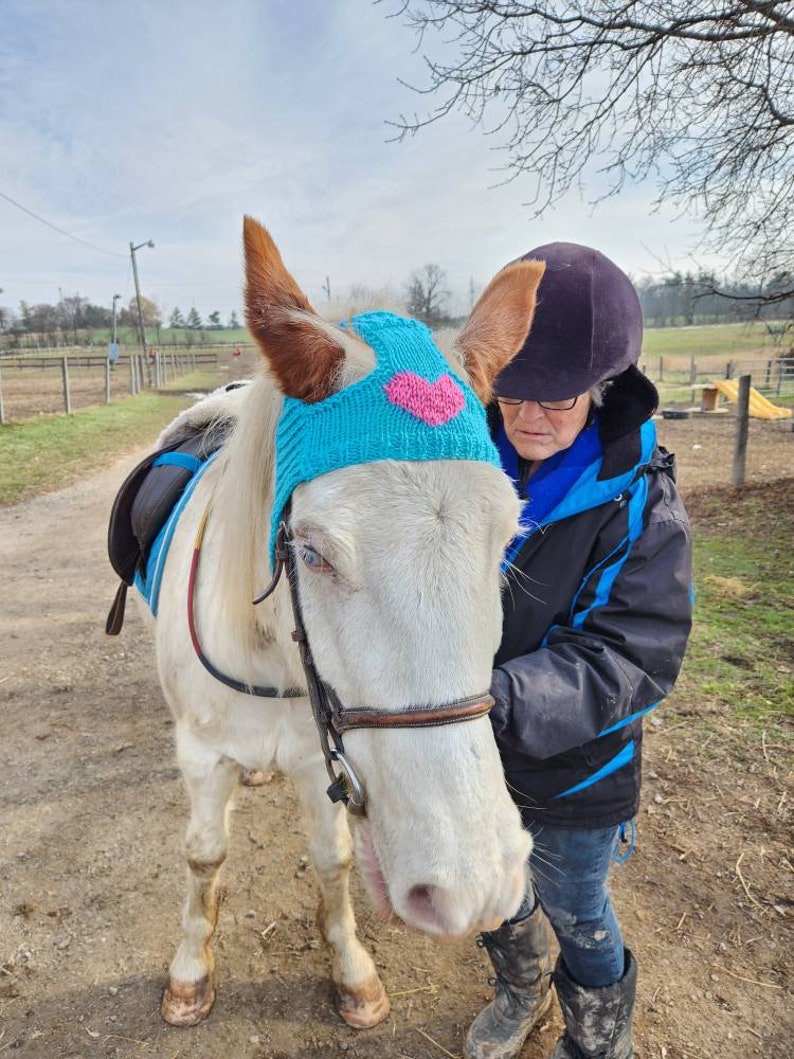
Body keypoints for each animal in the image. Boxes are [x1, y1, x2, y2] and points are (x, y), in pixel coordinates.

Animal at [129, 219, 546, 1029]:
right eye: (313, 551)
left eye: (507, 536)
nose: (472, 884)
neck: (271, 663)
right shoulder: (200, 756)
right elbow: (203, 856)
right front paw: (191, 971)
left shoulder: (313, 757)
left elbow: (334, 860)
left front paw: (351, 969)